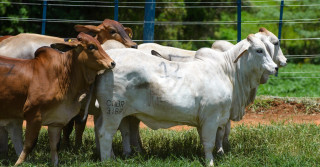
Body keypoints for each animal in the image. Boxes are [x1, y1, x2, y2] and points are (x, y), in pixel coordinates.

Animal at [0, 32, 115, 166]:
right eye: (91, 46)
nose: (112, 63)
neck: (62, 76)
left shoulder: (56, 122)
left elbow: (55, 147)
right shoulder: (34, 116)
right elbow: (29, 145)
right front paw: (17, 163)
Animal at [94, 34, 276, 166]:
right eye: (259, 50)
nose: (275, 67)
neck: (228, 72)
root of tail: (111, 59)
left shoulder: (214, 120)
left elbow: (213, 139)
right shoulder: (211, 118)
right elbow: (209, 142)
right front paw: (210, 162)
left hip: (108, 112)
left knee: (102, 129)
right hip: (114, 111)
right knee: (105, 133)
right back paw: (107, 161)